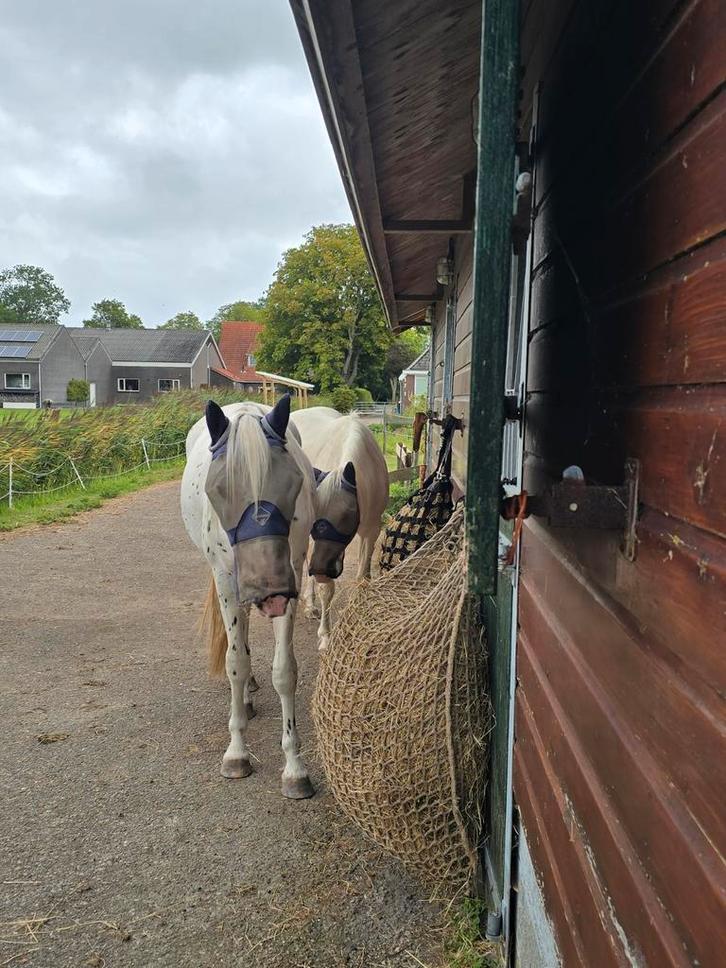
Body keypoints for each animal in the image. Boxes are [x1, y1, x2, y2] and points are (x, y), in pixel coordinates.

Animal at [180, 394, 318, 798]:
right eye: (218, 490)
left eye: (294, 482)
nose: (268, 591)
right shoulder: (228, 582)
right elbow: (235, 662)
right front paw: (237, 751)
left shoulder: (290, 580)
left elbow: (285, 670)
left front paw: (294, 767)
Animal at [291, 406, 389, 651]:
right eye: (315, 513)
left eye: (347, 513)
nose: (320, 570)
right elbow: (326, 590)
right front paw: (326, 636)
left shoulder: (371, 530)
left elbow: (362, 577)